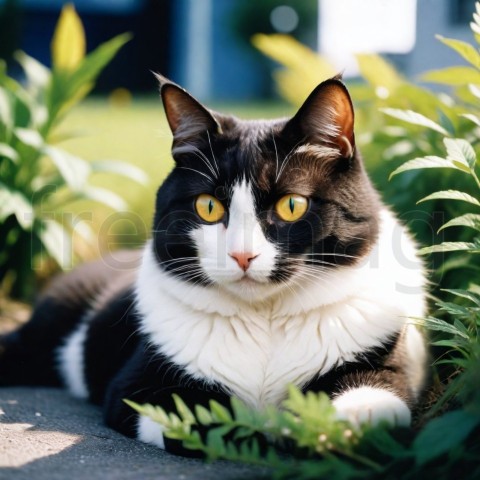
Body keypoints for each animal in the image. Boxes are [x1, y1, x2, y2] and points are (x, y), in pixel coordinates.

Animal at [0, 74, 428, 454]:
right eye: (208, 206)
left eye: (292, 205)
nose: (242, 255)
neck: (266, 319)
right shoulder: (141, 386)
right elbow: (206, 421)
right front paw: (261, 434)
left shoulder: (385, 365)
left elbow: (373, 407)